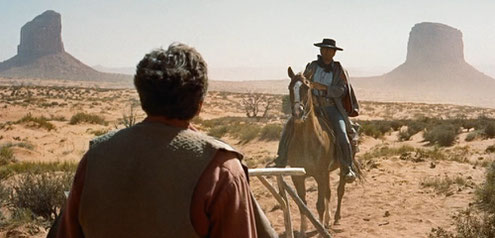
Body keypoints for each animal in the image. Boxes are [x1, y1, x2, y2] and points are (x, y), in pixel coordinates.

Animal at [286, 67, 360, 236]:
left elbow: (319, 204)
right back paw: (327, 220)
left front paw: (320, 229)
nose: (298, 113)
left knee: (339, 191)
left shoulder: (320, 174)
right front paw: (303, 231)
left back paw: (336, 218)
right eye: (290, 88)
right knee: (329, 192)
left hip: (341, 168)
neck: (307, 142)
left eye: (306, 87)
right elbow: (302, 204)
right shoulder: (298, 177)